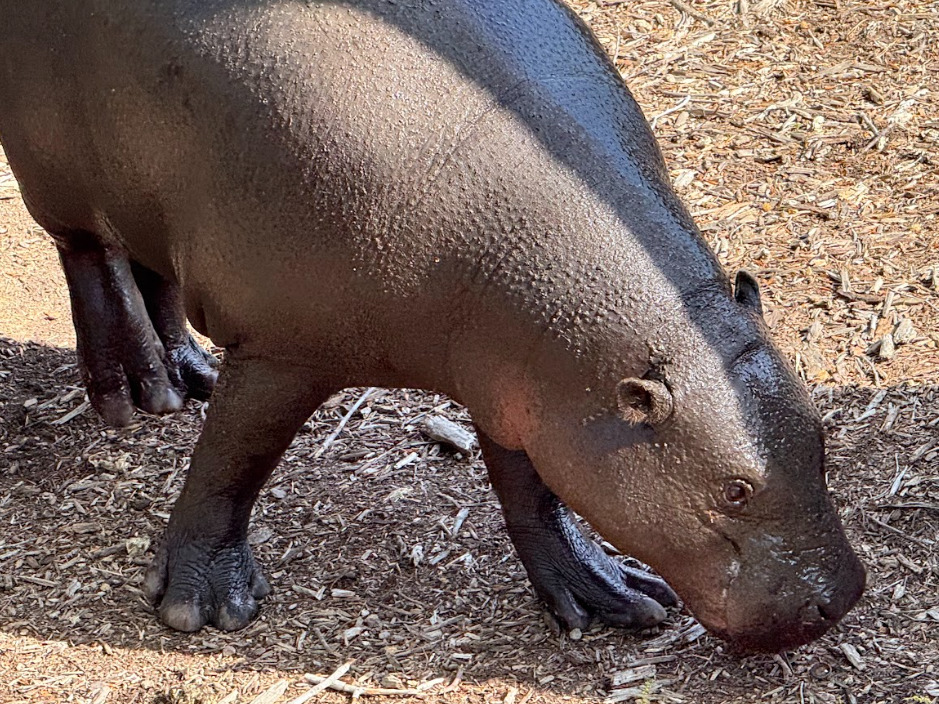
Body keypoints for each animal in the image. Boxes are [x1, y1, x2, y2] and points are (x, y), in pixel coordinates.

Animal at [0, 0, 865, 652]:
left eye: (820, 438)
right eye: (734, 490)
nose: (844, 596)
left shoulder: (528, 388)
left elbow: (531, 489)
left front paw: (609, 594)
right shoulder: (284, 350)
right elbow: (232, 461)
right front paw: (200, 609)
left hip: (149, 182)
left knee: (153, 264)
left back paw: (182, 378)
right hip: (53, 164)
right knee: (86, 255)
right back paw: (130, 394)